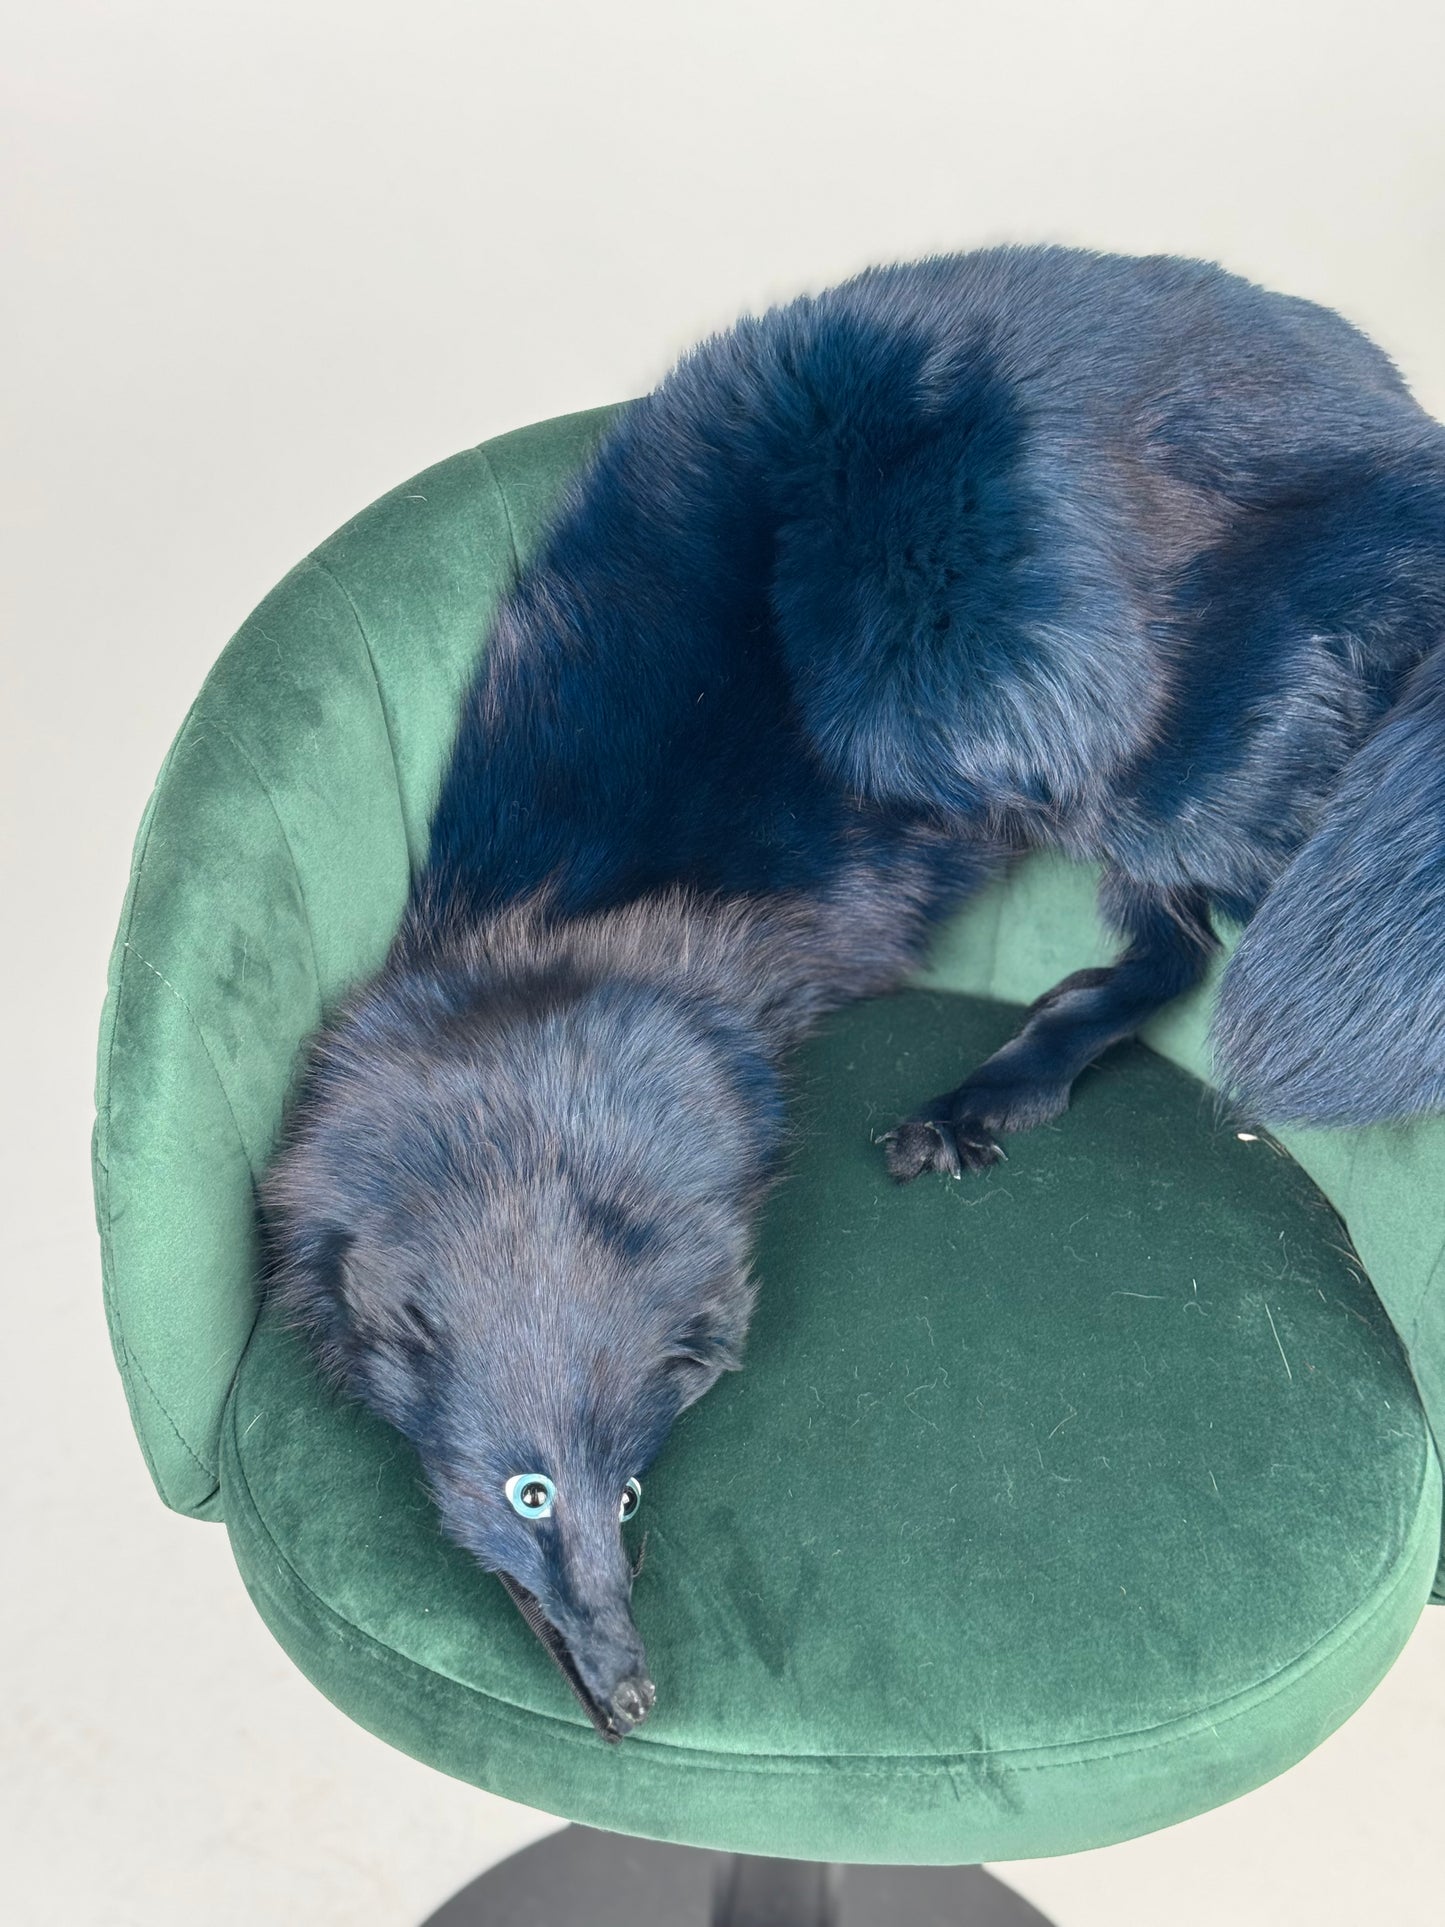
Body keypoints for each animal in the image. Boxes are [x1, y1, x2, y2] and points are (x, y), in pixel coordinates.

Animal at [262, 245, 1445, 1738]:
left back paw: (985, 1091)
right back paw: (989, 1092)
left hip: (960, 679)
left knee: (1231, 912)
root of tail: (1392, 431)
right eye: (530, 1492)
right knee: (1171, 945)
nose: (636, 1688)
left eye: (626, 1492)